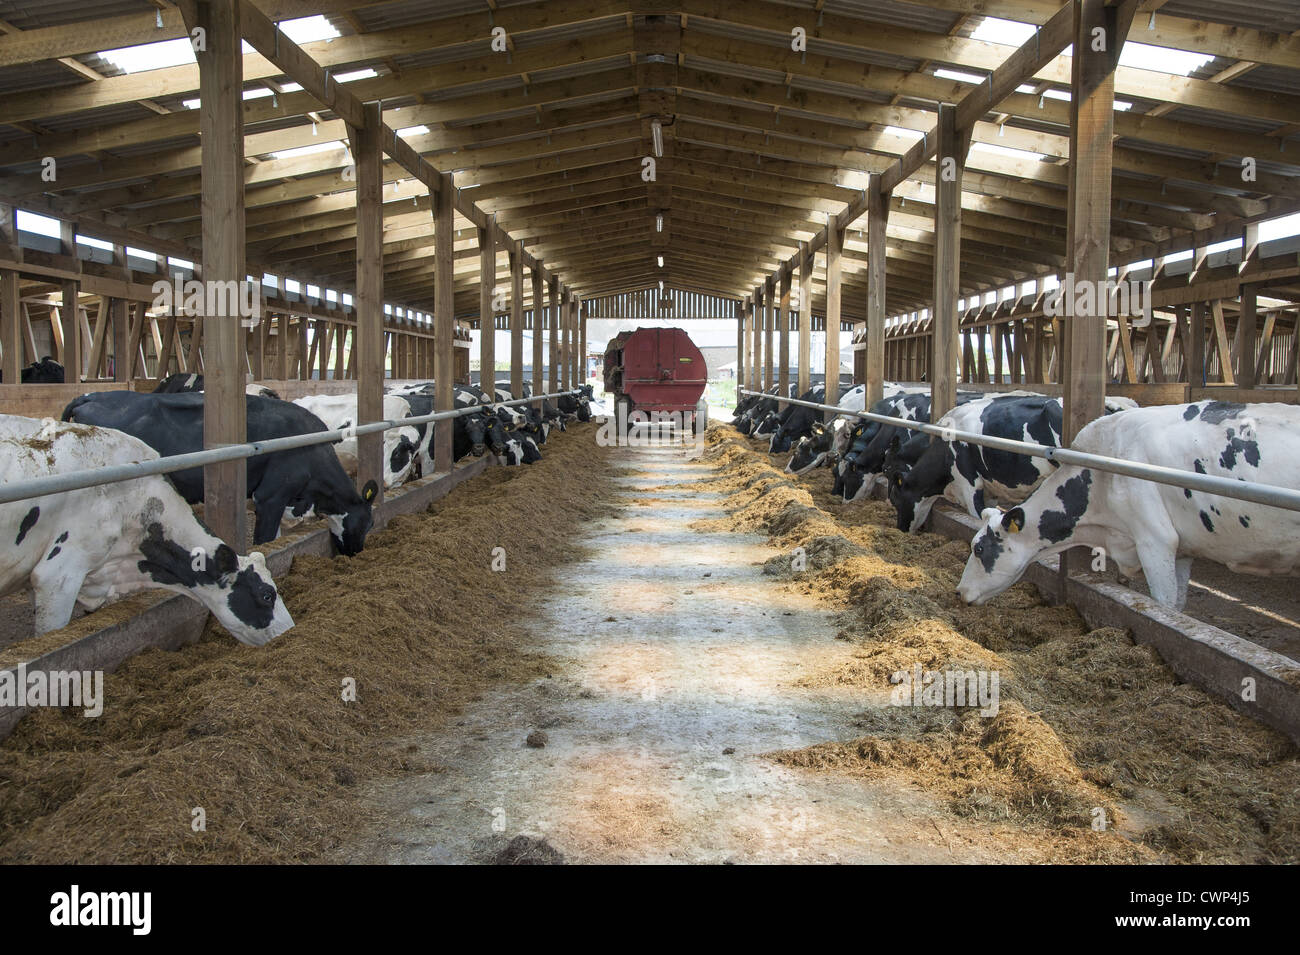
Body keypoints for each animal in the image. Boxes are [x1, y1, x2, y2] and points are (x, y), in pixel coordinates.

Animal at [956, 401, 1300, 610]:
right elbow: (1178, 609)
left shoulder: (1156, 540)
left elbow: (1164, 608)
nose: (959, 592)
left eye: (979, 548)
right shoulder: (1183, 549)